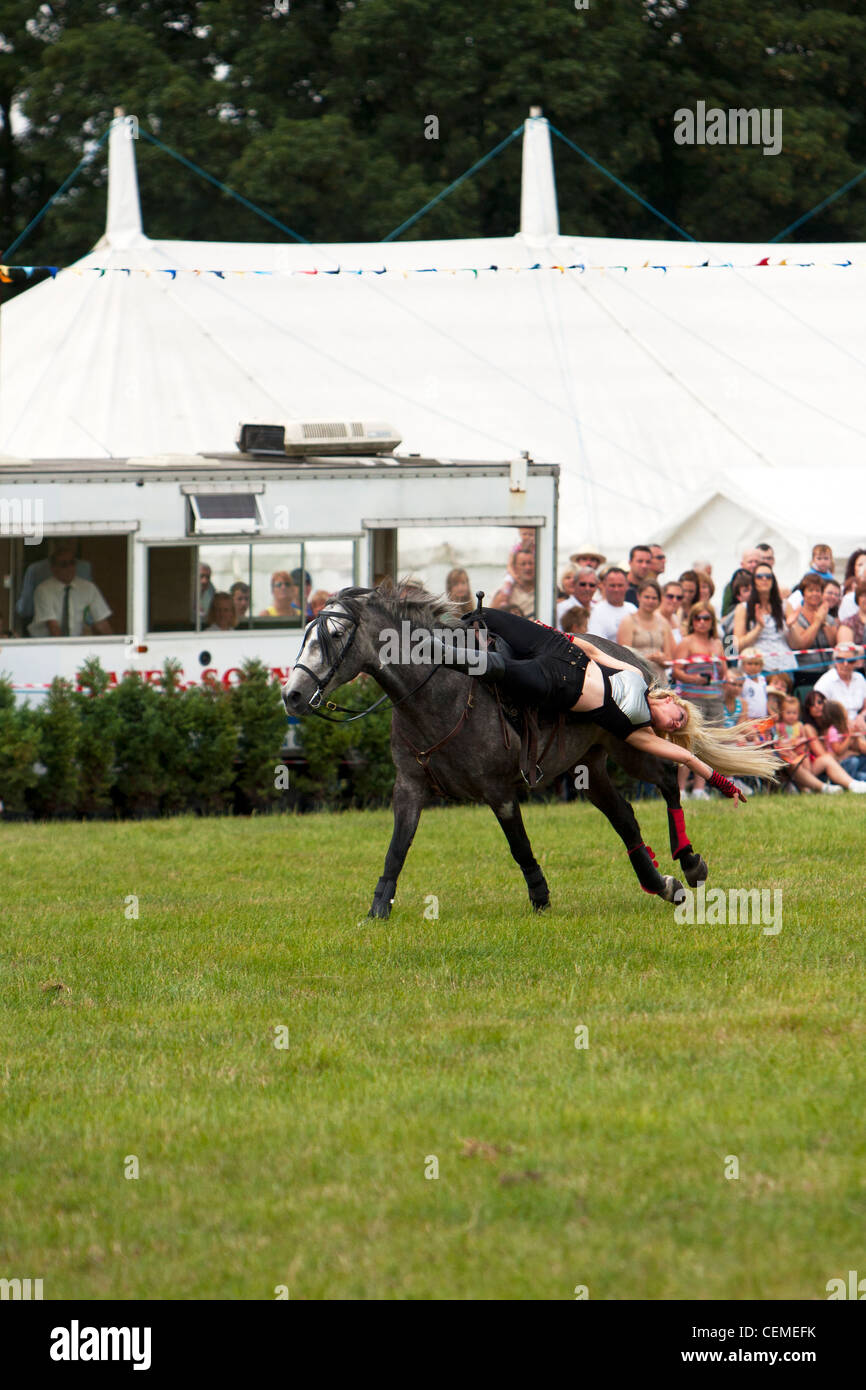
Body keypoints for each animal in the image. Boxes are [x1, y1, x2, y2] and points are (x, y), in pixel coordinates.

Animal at [284, 581, 711, 917]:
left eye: (334, 636)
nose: (292, 695)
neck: (441, 693)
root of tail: (629, 661)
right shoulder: (409, 787)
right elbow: (397, 849)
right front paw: (378, 908)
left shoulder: (499, 792)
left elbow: (519, 845)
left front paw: (540, 897)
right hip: (587, 767)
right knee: (624, 818)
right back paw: (660, 883)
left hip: (630, 746)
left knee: (668, 780)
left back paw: (689, 861)